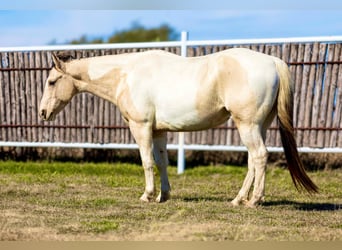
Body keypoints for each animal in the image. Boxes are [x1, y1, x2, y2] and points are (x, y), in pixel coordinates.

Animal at [38, 48, 318, 207]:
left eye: (51, 82)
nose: (42, 113)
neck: (126, 74)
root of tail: (272, 61)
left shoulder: (141, 128)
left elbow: (146, 162)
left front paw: (147, 195)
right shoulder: (159, 131)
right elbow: (162, 162)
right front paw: (163, 196)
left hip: (247, 125)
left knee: (259, 157)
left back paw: (254, 200)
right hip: (257, 126)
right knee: (253, 161)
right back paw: (239, 199)